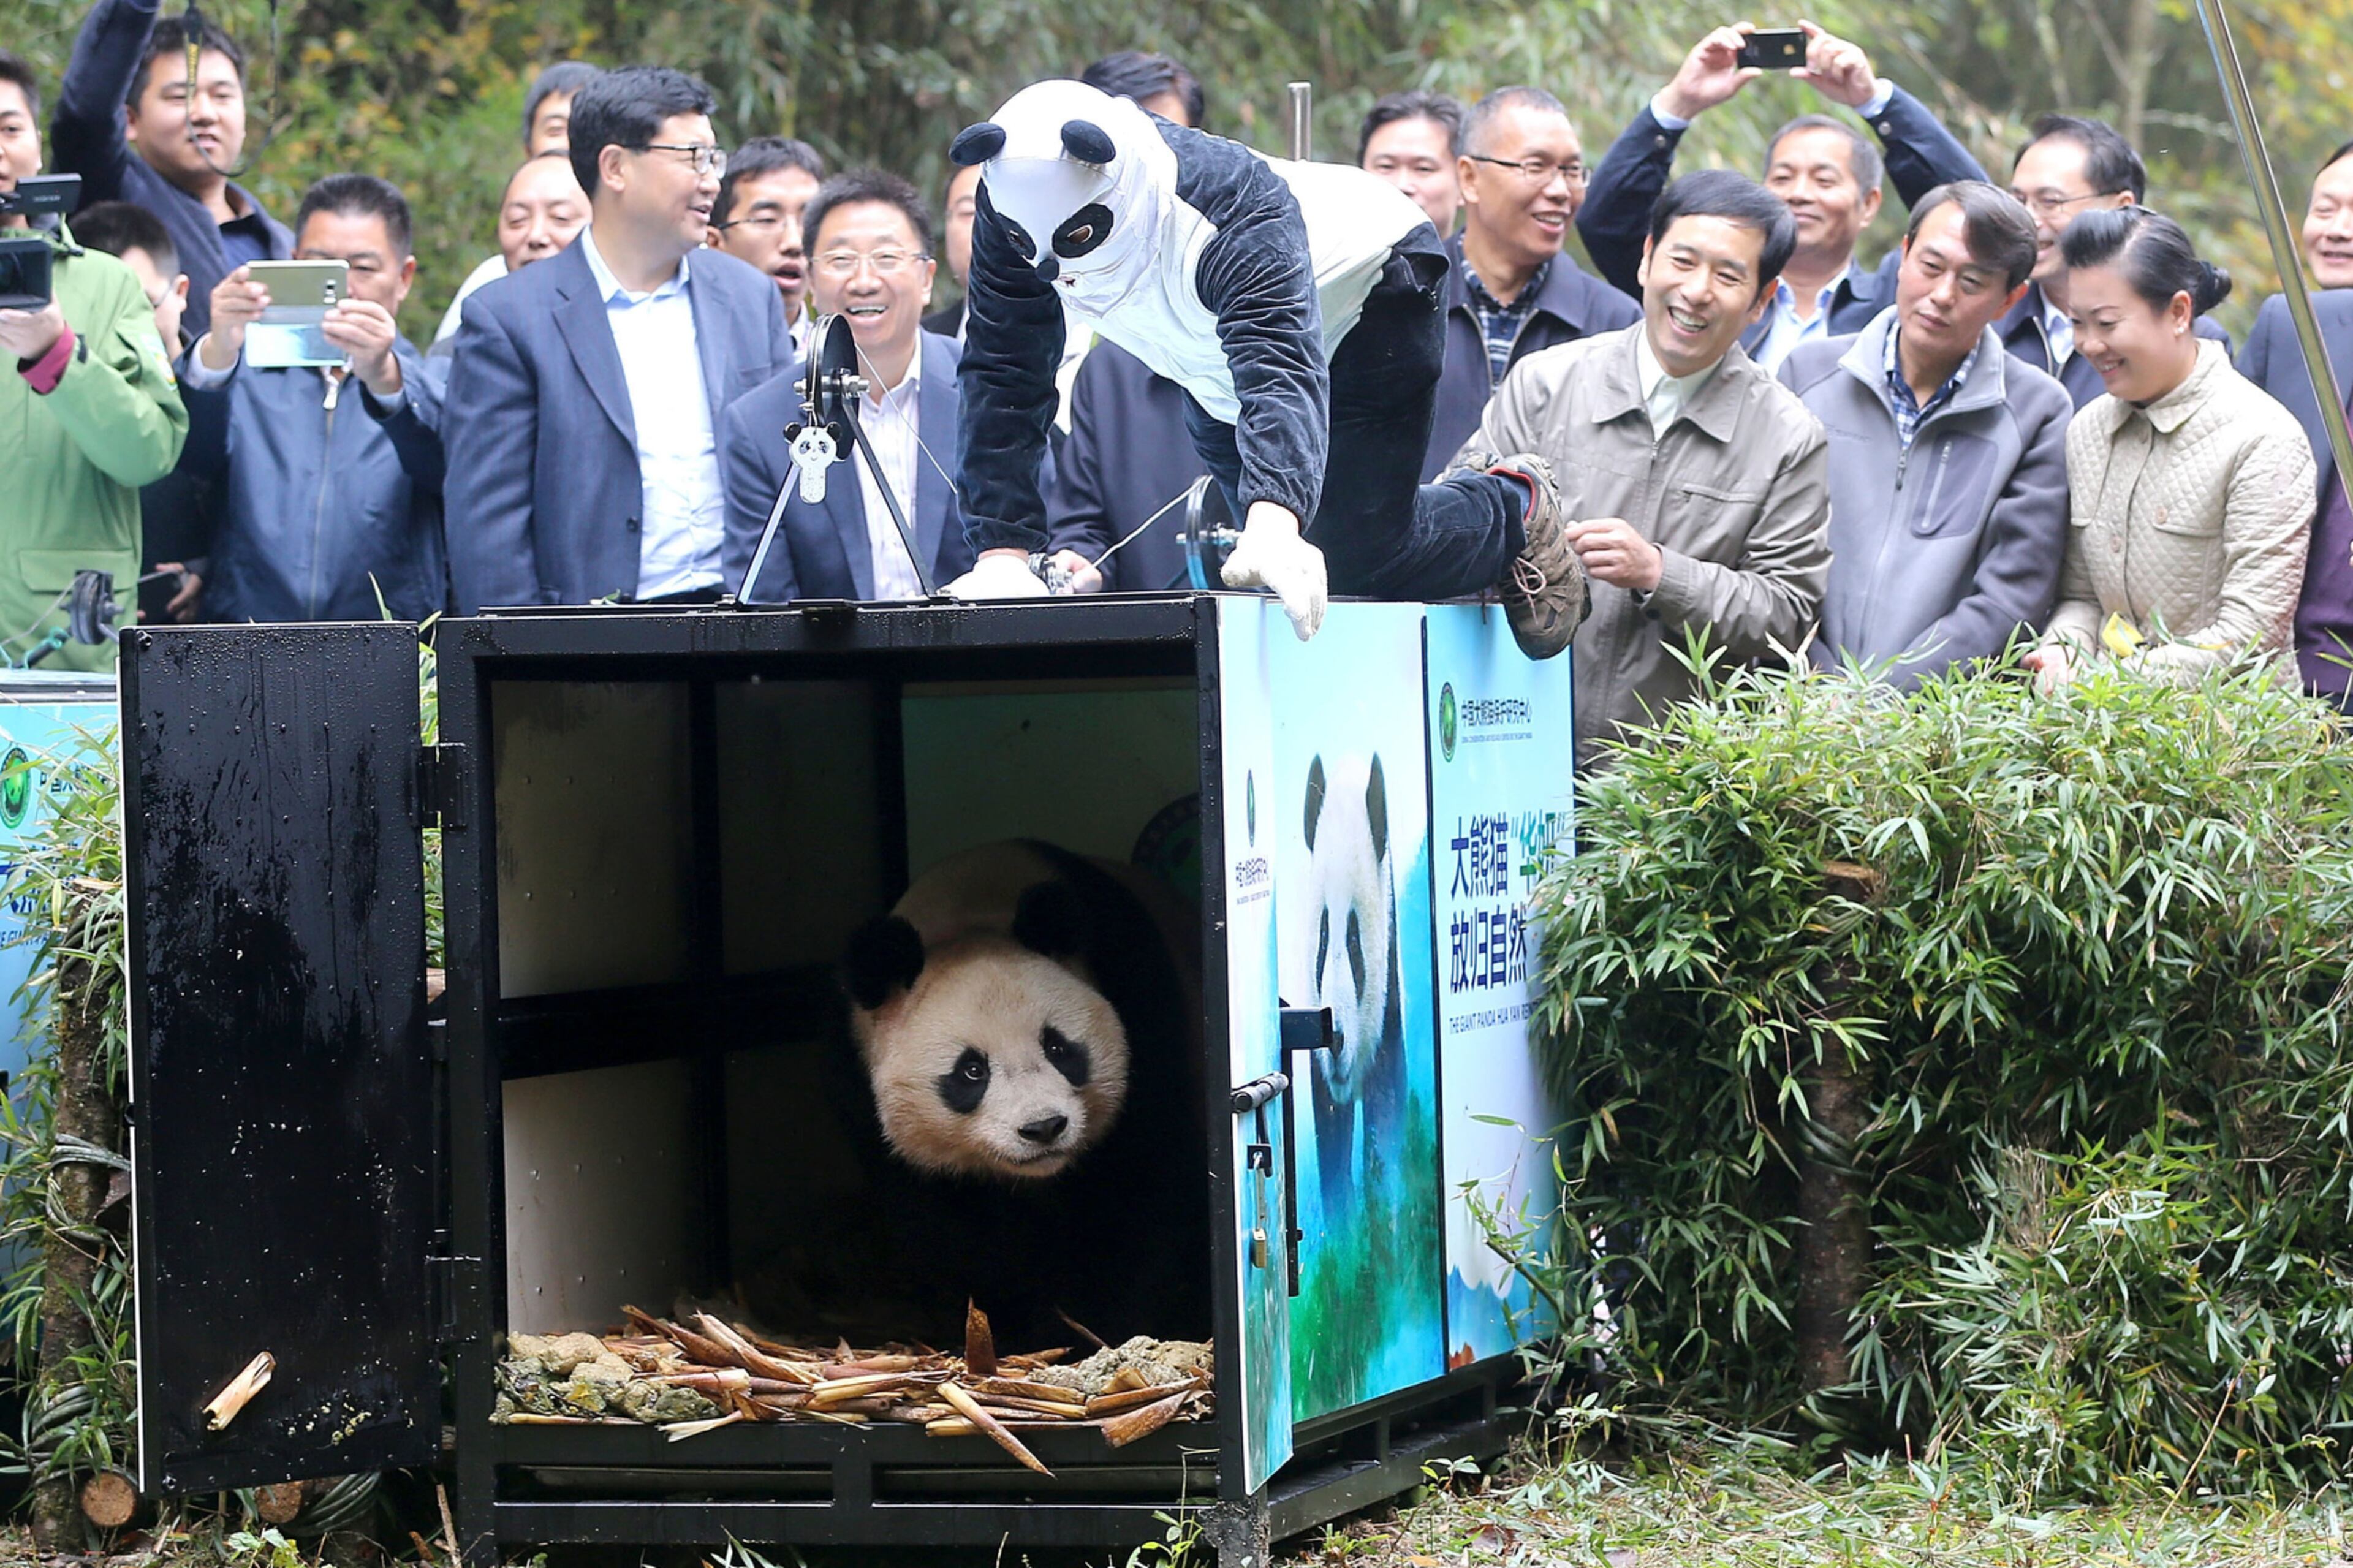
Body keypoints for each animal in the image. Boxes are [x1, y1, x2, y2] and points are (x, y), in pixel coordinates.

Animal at [835, 840, 1209, 1348]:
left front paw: (1094, 1326)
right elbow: (949, 1230)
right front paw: (1006, 1325)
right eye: (972, 1070)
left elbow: (1141, 1190)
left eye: (1057, 1047)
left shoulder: (1143, 996)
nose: (1044, 1127)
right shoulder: (861, 1087)